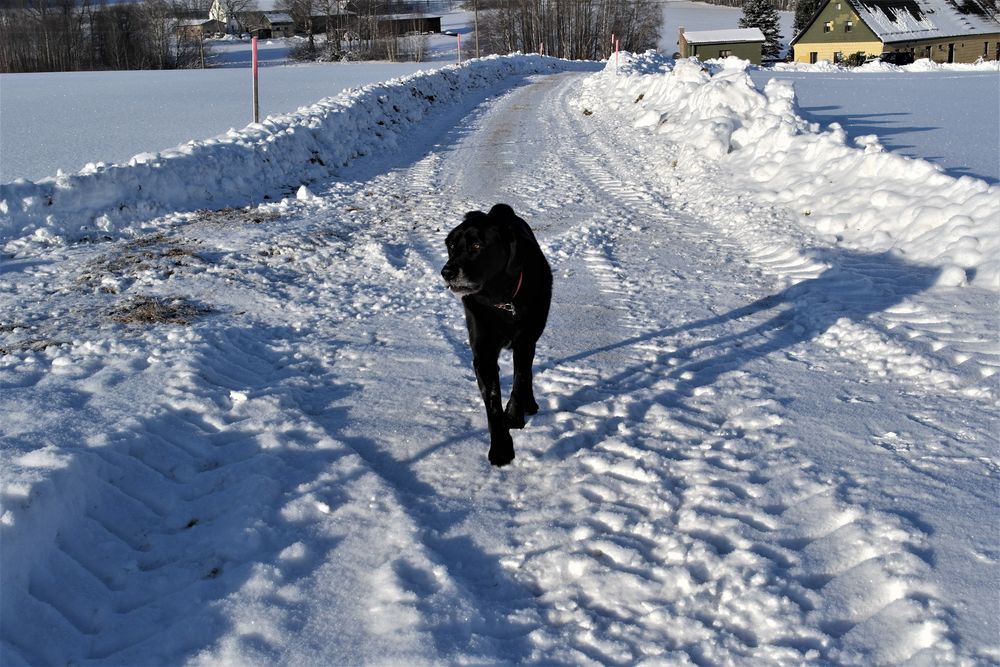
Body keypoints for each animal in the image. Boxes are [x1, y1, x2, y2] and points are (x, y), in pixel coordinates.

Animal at [442, 206, 556, 468]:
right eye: (451, 246)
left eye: (476, 245)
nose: (446, 271)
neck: (501, 301)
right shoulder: (483, 354)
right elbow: (492, 402)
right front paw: (501, 448)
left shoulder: (525, 341)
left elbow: (520, 379)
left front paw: (514, 416)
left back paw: (529, 404)